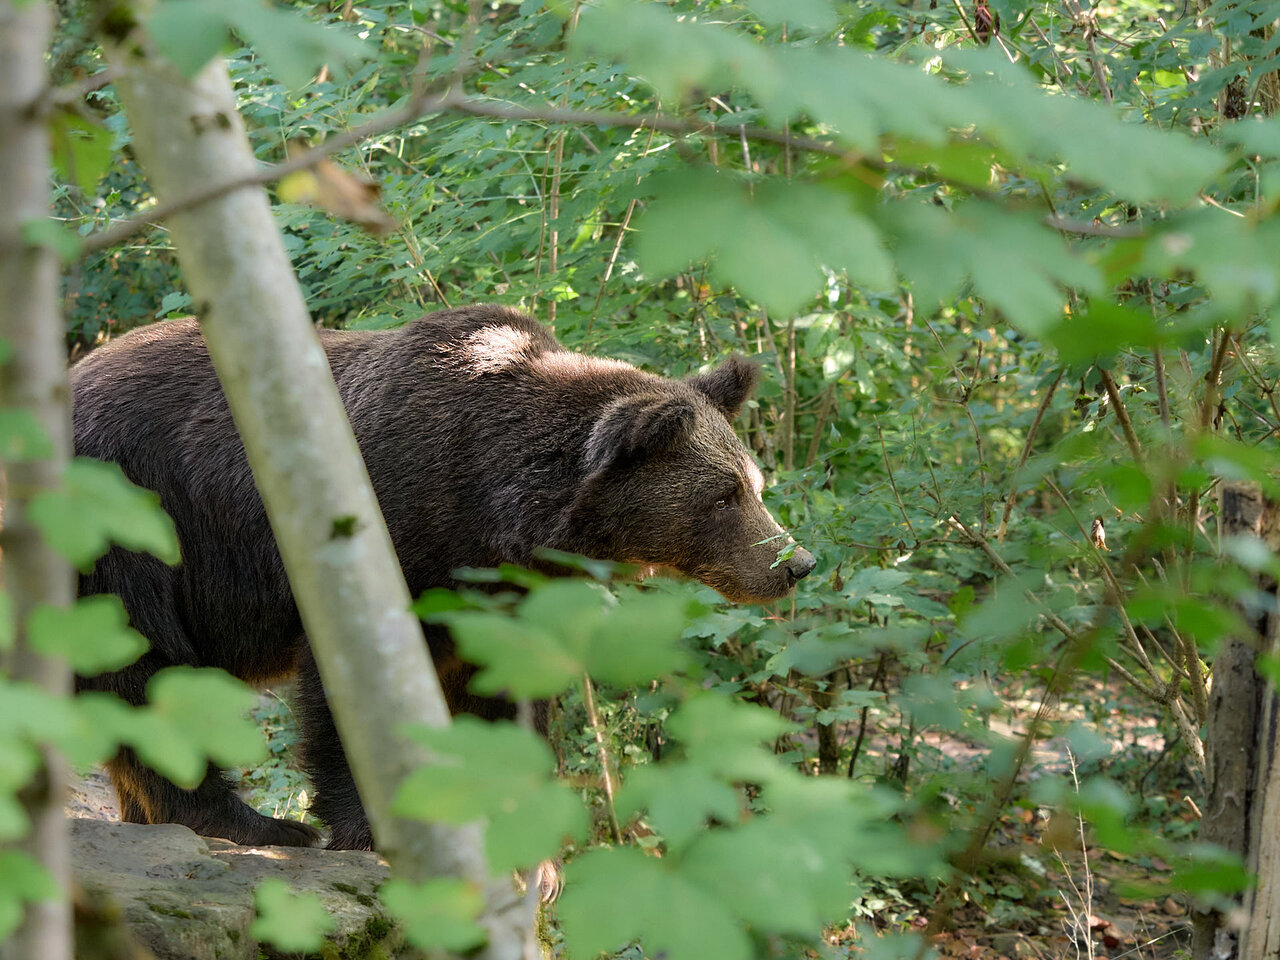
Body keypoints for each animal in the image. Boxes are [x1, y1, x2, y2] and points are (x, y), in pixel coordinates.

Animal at [70, 305, 814, 849]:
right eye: (723, 496)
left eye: (755, 483)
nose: (796, 563)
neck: (493, 508)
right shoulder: (387, 537)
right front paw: (368, 828)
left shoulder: (499, 594)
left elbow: (506, 695)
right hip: (128, 517)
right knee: (143, 666)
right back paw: (258, 825)